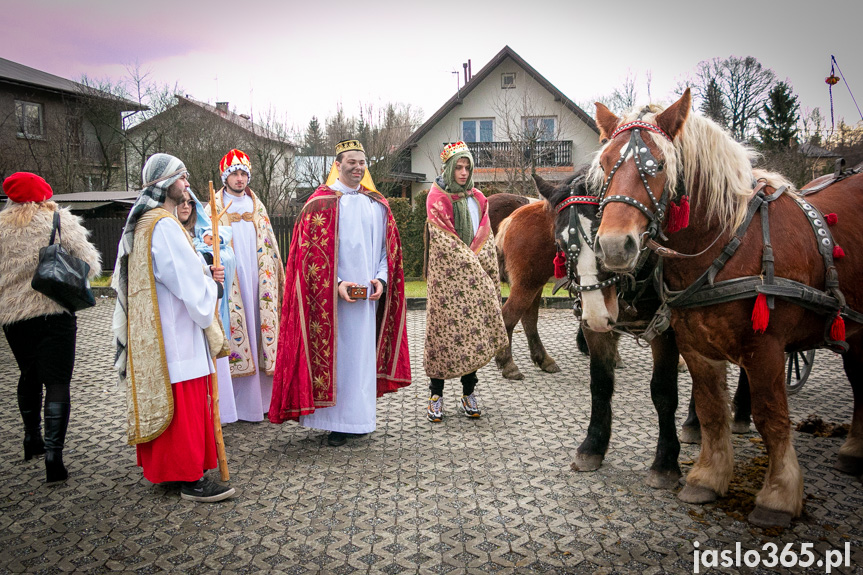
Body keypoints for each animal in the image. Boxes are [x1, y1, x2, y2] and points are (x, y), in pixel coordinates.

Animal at [592, 88, 863, 528]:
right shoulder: (696, 346)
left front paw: (778, 495)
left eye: (659, 165)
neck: (728, 244)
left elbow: (772, 417)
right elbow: (711, 410)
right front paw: (708, 477)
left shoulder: (766, 348)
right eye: (603, 165)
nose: (615, 247)